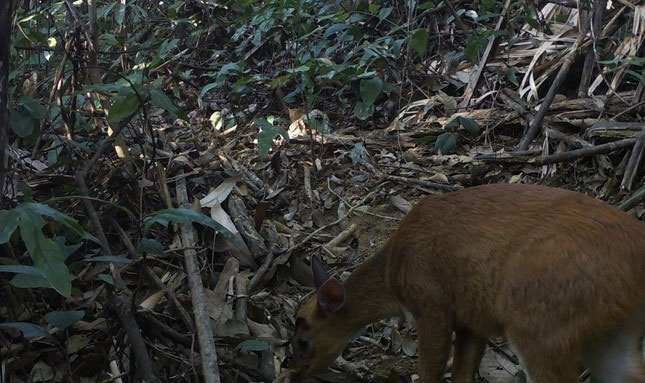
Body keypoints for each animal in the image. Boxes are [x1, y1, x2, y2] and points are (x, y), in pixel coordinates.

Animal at [288, 184, 644, 382]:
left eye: (302, 341)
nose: (293, 374)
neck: (393, 274)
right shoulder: (474, 320)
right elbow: (462, 374)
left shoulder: (432, 306)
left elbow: (431, 371)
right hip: (612, 334)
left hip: (541, 324)